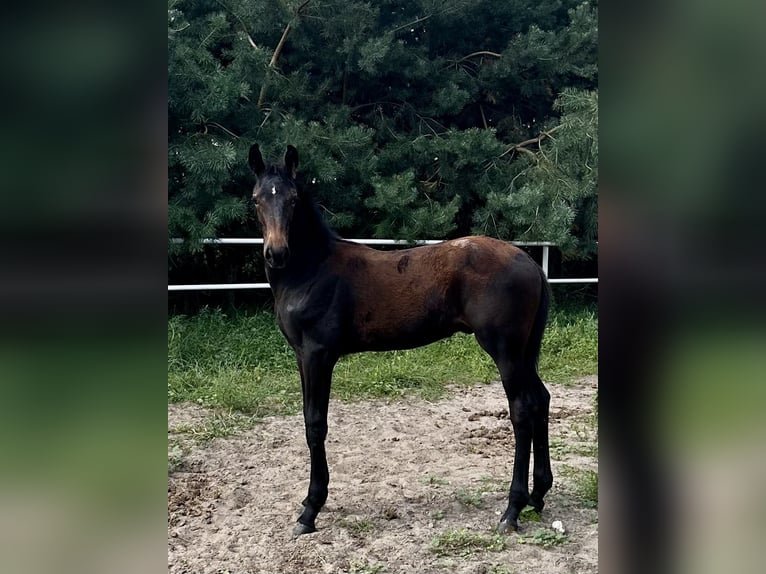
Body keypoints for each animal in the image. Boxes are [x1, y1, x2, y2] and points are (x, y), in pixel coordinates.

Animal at [249, 145, 556, 540]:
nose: (277, 253)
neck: (312, 271)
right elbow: (307, 420)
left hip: (505, 351)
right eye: (257, 199)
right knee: (541, 400)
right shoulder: (302, 357)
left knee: (521, 410)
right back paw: (538, 494)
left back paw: (512, 508)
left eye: (293, 199)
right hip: (523, 352)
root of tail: (530, 262)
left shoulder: (318, 354)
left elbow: (316, 424)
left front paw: (310, 511)